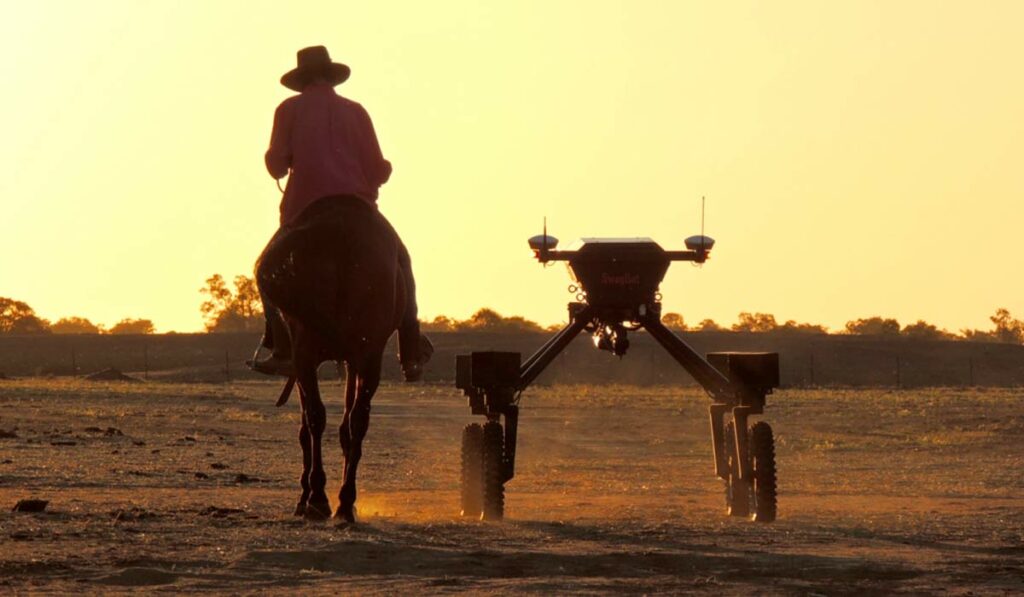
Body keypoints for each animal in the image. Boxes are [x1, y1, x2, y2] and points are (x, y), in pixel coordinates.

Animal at [256, 197, 407, 524]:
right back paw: (346, 503)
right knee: (358, 419)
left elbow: (308, 424)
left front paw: (306, 497)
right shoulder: (354, 359)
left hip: (306, 351)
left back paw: (319, 499)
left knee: (316, 418)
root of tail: (342, 234)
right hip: (367, 354)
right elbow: (346, 424)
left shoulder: (304, 362)